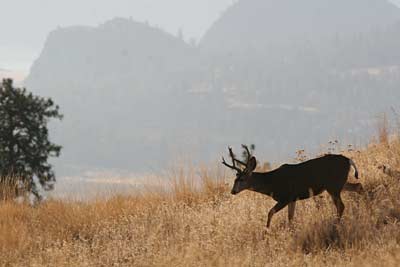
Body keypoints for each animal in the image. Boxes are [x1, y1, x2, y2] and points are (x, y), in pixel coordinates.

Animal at [220, 146, 364, 229]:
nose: (233, 191)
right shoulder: (293, 199)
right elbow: (290, 217)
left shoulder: (285, 197)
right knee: (358, 186)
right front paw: (291, 230)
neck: (271, 183)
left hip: (333, 186)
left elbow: (270, 212)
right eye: (235, 179)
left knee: (341, 205)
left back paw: (335, 225)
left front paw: (266, 231)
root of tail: (348, 160)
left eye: (242, 179)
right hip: (338, 184)